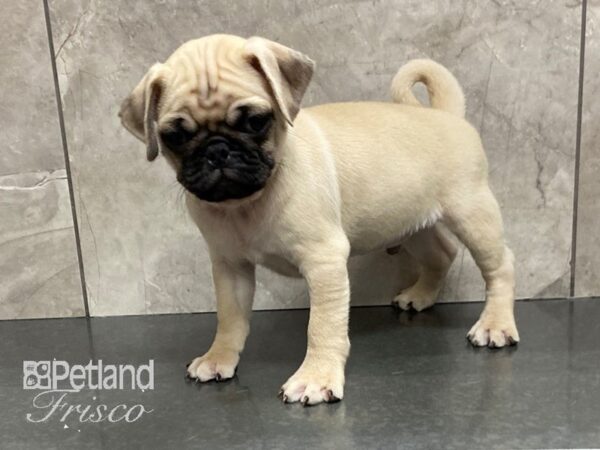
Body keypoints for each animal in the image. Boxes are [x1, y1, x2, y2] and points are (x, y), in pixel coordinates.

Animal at [119, 34, 516, 404]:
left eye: (255, 121)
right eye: (175, 136)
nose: (217, 150)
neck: (246, 204)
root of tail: (446, 114)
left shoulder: (324, 262)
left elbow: (322, 327)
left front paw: (316, 378)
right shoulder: (230, 267)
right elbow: (229, 318)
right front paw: (219, 358)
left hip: (472, 213)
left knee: (500, 266)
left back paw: (495, 325)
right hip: (412, 223)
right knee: (442, 255)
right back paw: (421, 295)